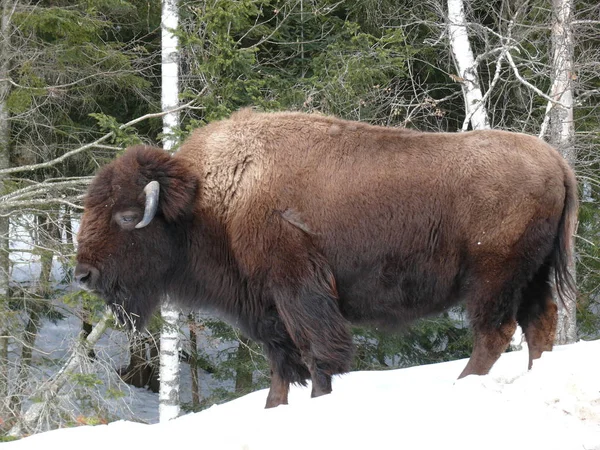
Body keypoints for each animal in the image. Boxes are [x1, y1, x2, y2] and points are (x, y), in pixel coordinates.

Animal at [74, 109, 576, 408]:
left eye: (125, 217)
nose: (83, 274)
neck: (216, 195)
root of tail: (555, 159)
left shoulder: (299, 291)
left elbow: (317, 356)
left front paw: (316, 402)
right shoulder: (266, 307)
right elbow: (281, 365)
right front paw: (274, 408)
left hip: (492, 278)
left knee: (495, 332)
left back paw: (459, 386)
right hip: (532, 276)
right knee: (539, 324)